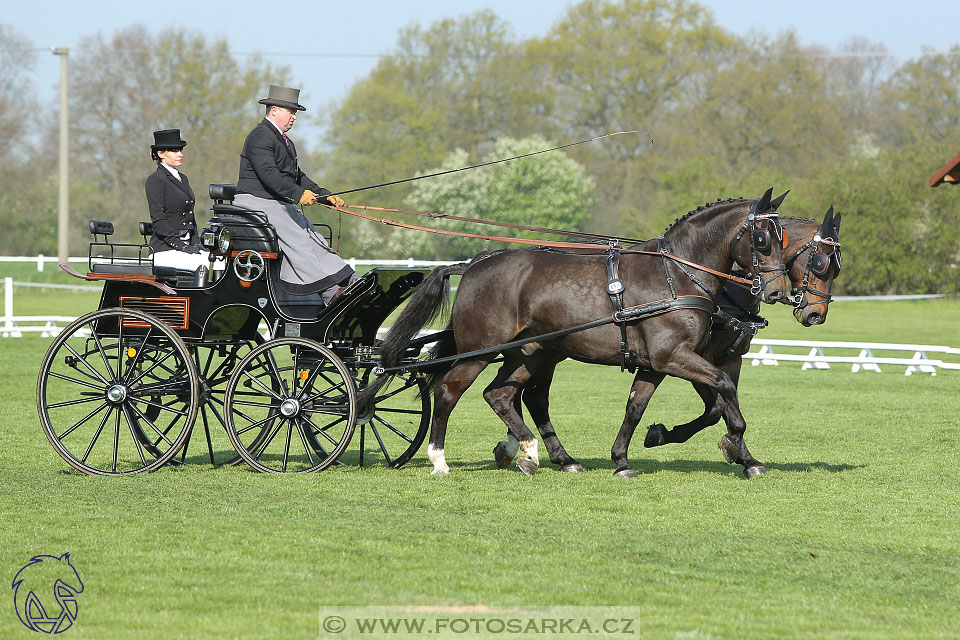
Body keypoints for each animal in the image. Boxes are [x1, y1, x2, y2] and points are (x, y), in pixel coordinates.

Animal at [368, 190, 788, 476]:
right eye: (762, 239)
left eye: (783, 239)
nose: (777, 292)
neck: (676, 275)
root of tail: (474, 264)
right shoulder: (674, 357)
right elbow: (724, 390)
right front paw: (740, 448)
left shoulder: (658, 362)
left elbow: (637, 406)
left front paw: (625, 459)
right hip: (482, 351)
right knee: (448, 391)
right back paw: (440, 459)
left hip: (531, 353)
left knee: (503, 395)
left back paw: (535, 453)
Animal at [496, 208, 840, 478]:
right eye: (821, 263)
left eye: (835, 268)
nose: (815, 314)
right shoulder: (689, 356)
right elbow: (718, 406)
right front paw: (666, 436)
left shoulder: (727, 359)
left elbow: (718, 406)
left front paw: (745, 458)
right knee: (530, 397)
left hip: (543, 352)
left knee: (525, 395)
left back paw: (529, 449)